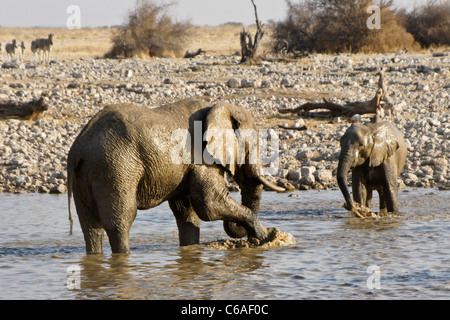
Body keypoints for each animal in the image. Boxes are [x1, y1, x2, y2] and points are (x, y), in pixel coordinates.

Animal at [67, 99, 284, 254]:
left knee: (90, 227)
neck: (216, 107)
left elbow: (187, 212)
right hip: (116, 168)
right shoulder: (201, 157)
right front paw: (270, 236)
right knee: (121, 221)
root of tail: (77, 150)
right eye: (253, 146)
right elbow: (208, 206)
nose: (243, 236)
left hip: (88, 174)